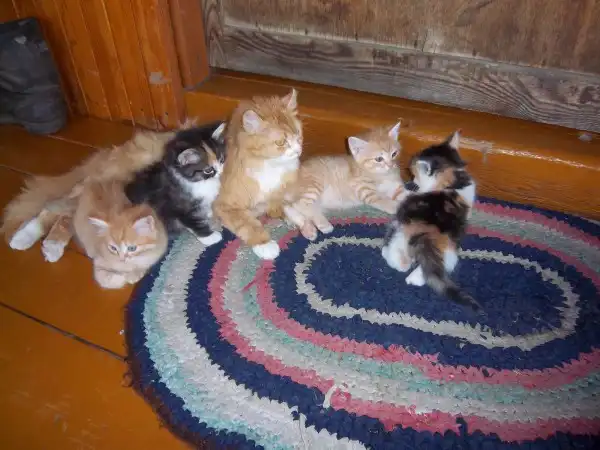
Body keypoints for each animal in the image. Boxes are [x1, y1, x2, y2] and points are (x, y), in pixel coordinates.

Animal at [214, 89, 302, 260]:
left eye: (298, 134)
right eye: (281, 142)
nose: (298, 151)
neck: (270, 166)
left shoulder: (277, 192)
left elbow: (282, 204)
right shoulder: (225, 206)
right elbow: (249, 224)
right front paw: (265, 244)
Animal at [381, 131, 482, 312]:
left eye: (415, 173)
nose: (413, 181)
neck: (453, 179)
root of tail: (427, 232)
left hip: (400, 229)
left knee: (400, 263)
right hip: (450, 247)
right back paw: (414, 279)